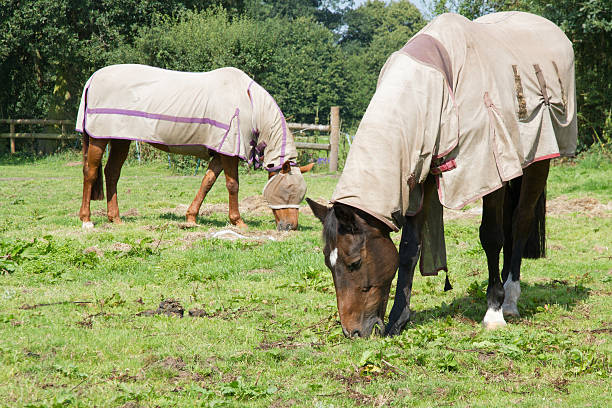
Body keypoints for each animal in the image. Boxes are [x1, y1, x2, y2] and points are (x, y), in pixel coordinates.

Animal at [76, 63, 310, 230]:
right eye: (288, 189)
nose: (291, 227)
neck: (249, 105)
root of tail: (93, 79)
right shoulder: (229, 153)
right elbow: (232, 185)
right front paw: (238, 221)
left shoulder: (219, 154)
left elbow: (207, 183)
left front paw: (191, 218)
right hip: (99, 138)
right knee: (91, 172)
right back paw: (86, 220)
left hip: (120, 139)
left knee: (111, 173)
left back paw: (115, 218)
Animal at [308, 11, 576, 338]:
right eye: (327, 262)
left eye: (354, 262)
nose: (354, 332)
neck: (432, 91)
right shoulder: (416, 179)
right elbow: (409, 250)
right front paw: (398, 319)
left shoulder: (487, 172)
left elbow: (491, 236)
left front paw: (494, 311)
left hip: (537, 162)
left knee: (520, 221)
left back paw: (510, 298)